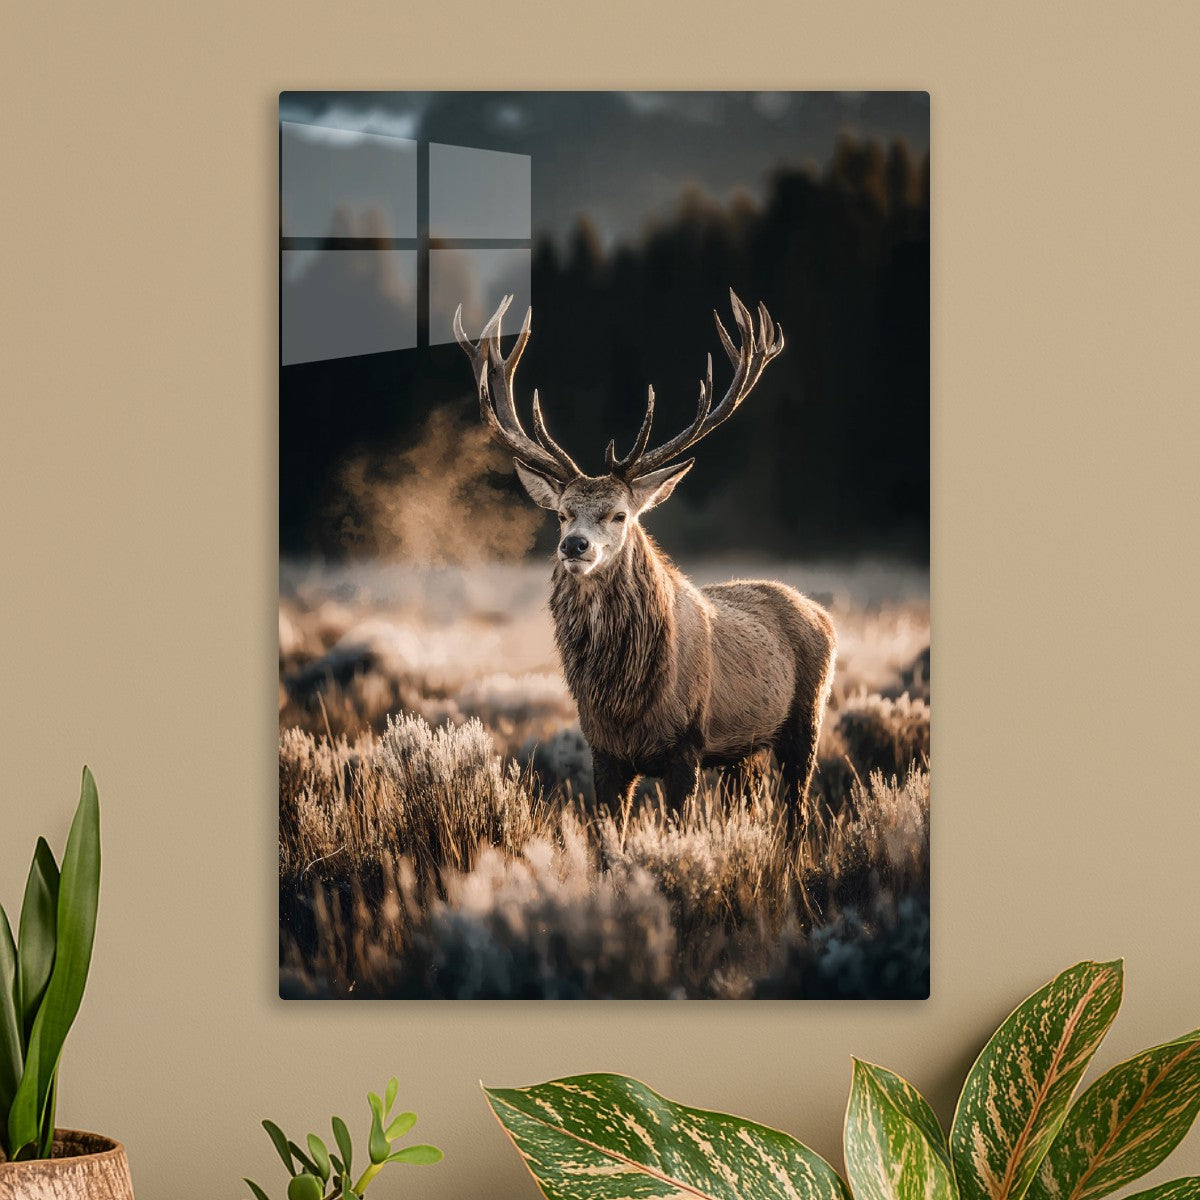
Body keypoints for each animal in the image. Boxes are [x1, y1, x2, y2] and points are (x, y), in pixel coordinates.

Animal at [453, 289, 836, 820]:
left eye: (619, 514)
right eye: (561, 514)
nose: (574, 545)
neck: (626, 704)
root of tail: (821, 613)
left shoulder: (687, 746)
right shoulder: (604, 753)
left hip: (807, 719)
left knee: (798, 812)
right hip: (745, 753)